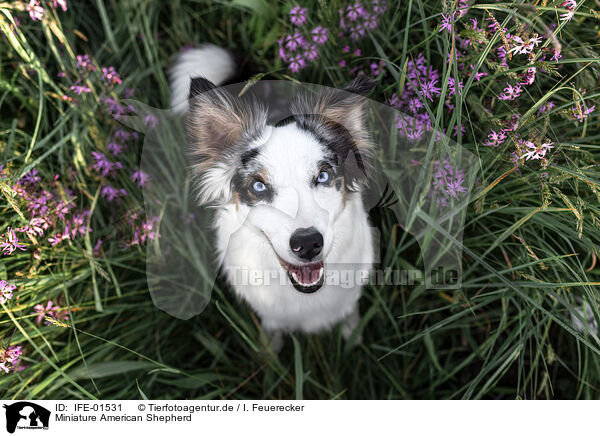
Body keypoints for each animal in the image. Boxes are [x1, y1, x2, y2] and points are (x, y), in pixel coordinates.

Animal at [169, 45, 376, 350]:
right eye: (258, 186)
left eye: (323, 176)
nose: (307, 243)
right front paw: (269, 351)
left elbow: (349, 312)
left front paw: (353, 335)